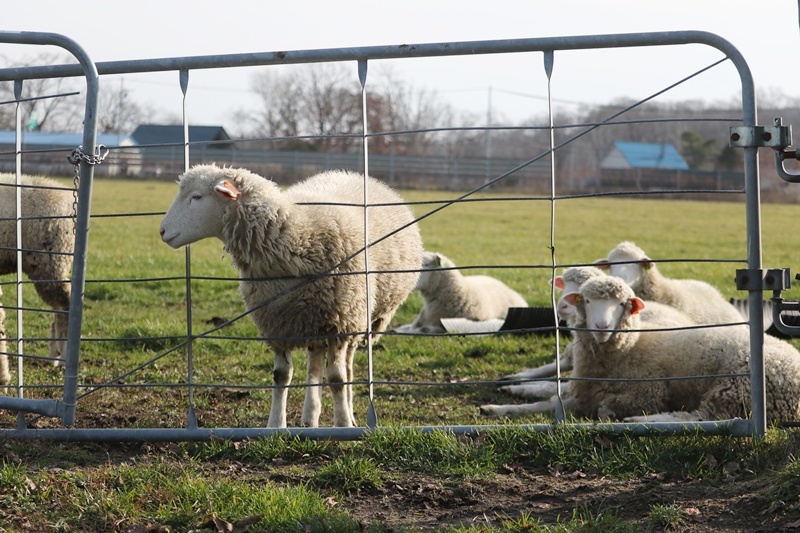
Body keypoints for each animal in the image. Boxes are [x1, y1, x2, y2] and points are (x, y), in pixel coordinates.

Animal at [159, 164, 423, 428]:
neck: (296, 238)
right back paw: (309, 417)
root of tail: (352, 173)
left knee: (346, 366)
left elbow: (337, 378)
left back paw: (347, 415)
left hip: (357, 316)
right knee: (314, 364)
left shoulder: (339, 322)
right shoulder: (277, 324)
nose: (162, 231)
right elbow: (281, 376)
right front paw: (275, 424)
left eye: (196, 197)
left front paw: (343, 424)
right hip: (313, 319)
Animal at [482, 275, 800, 423]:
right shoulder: (585, 392)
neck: (631, 347)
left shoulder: (647, 391)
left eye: (622, 303)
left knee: (699, 417)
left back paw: (641, 420)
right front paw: (498, 407)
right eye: (587, 301)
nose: (601, 326)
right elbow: (547, 404)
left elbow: (601, 407)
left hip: (734, 390)